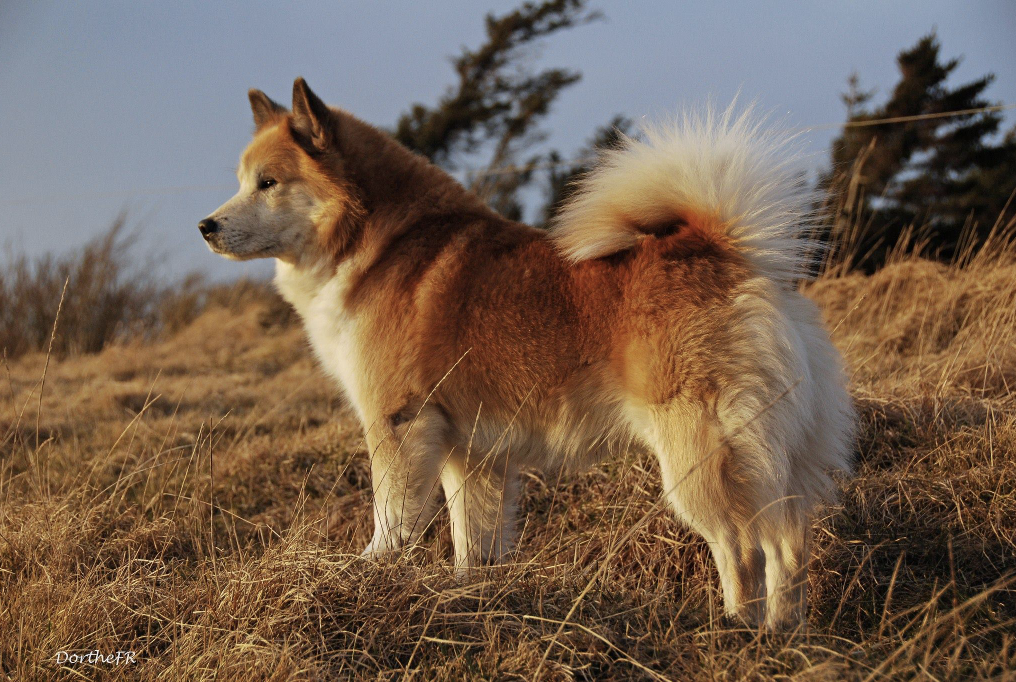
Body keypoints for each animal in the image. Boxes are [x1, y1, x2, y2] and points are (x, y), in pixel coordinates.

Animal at [200, 77, 857, 626]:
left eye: (268, 183)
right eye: (241, 180)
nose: (206, 226)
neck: (380, 244)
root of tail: (723, 252)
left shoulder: (399, 427)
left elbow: (392, 522)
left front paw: (366, 575)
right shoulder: (473, 456)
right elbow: (474, 545)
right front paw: (467, 600)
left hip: (700, 456)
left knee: (746, 544)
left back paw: (738, 632)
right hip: (780, 451)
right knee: (789, 539)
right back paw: (781, 633)